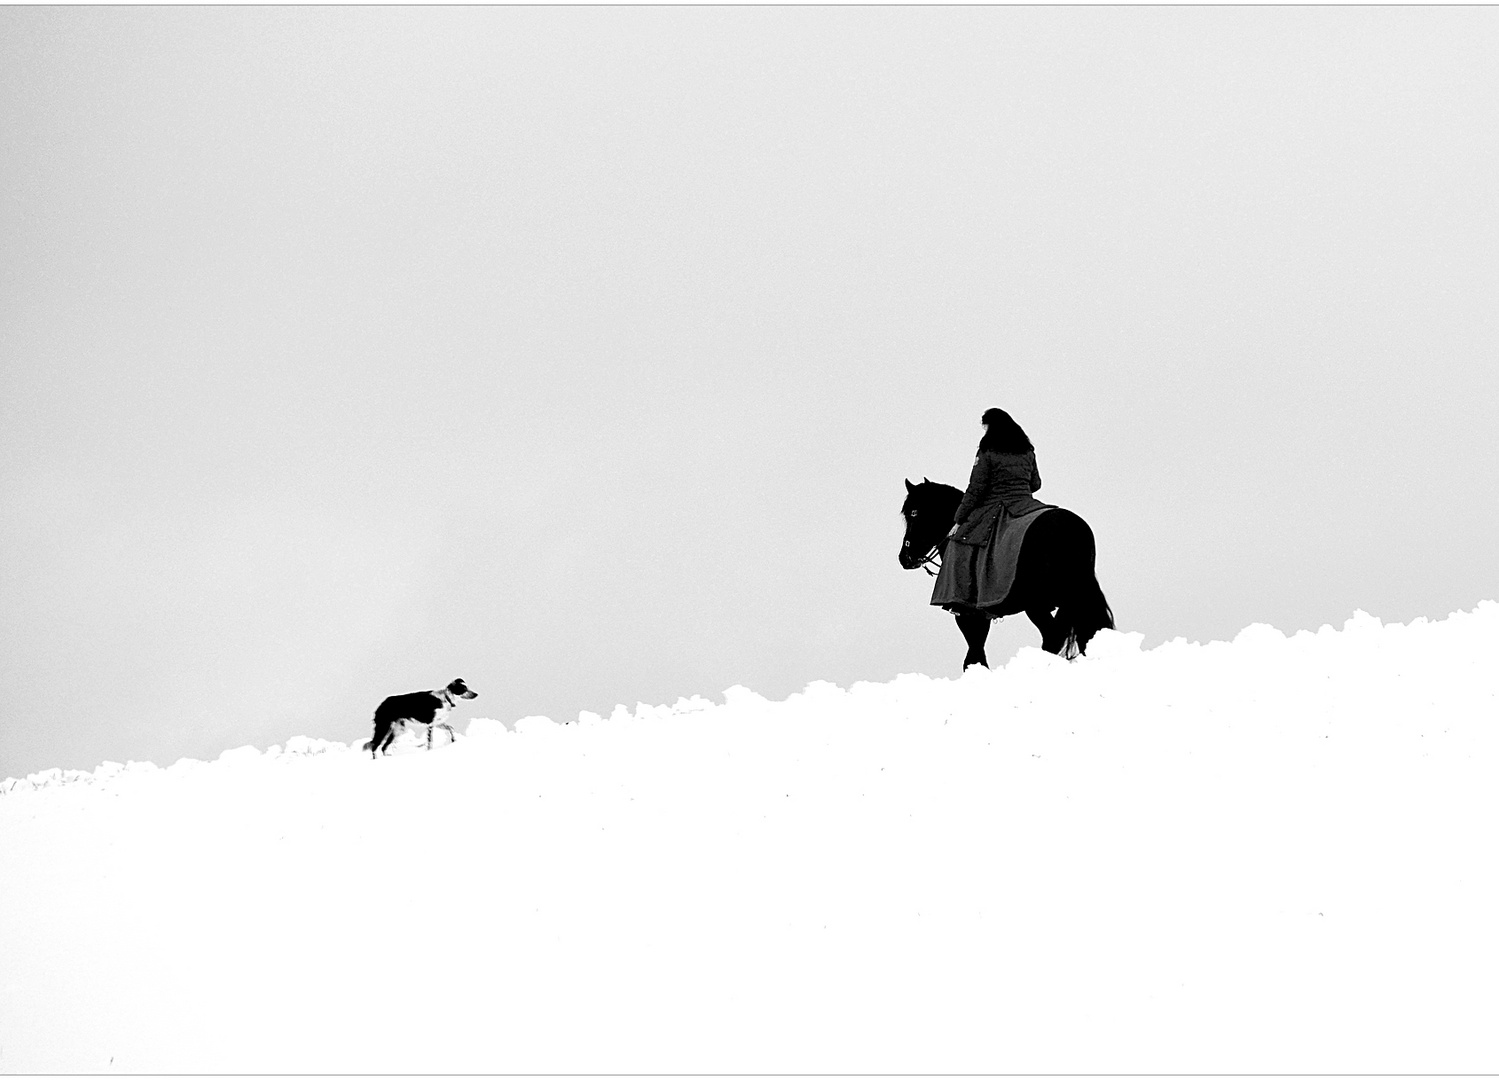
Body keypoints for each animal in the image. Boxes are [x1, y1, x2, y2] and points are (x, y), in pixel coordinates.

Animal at [899, 480, 1115, 666]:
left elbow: (974, 655)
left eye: (914, 513)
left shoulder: (966, 613)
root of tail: (1072, 529)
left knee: (1054, 636)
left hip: (1039, 603)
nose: (904, 557)